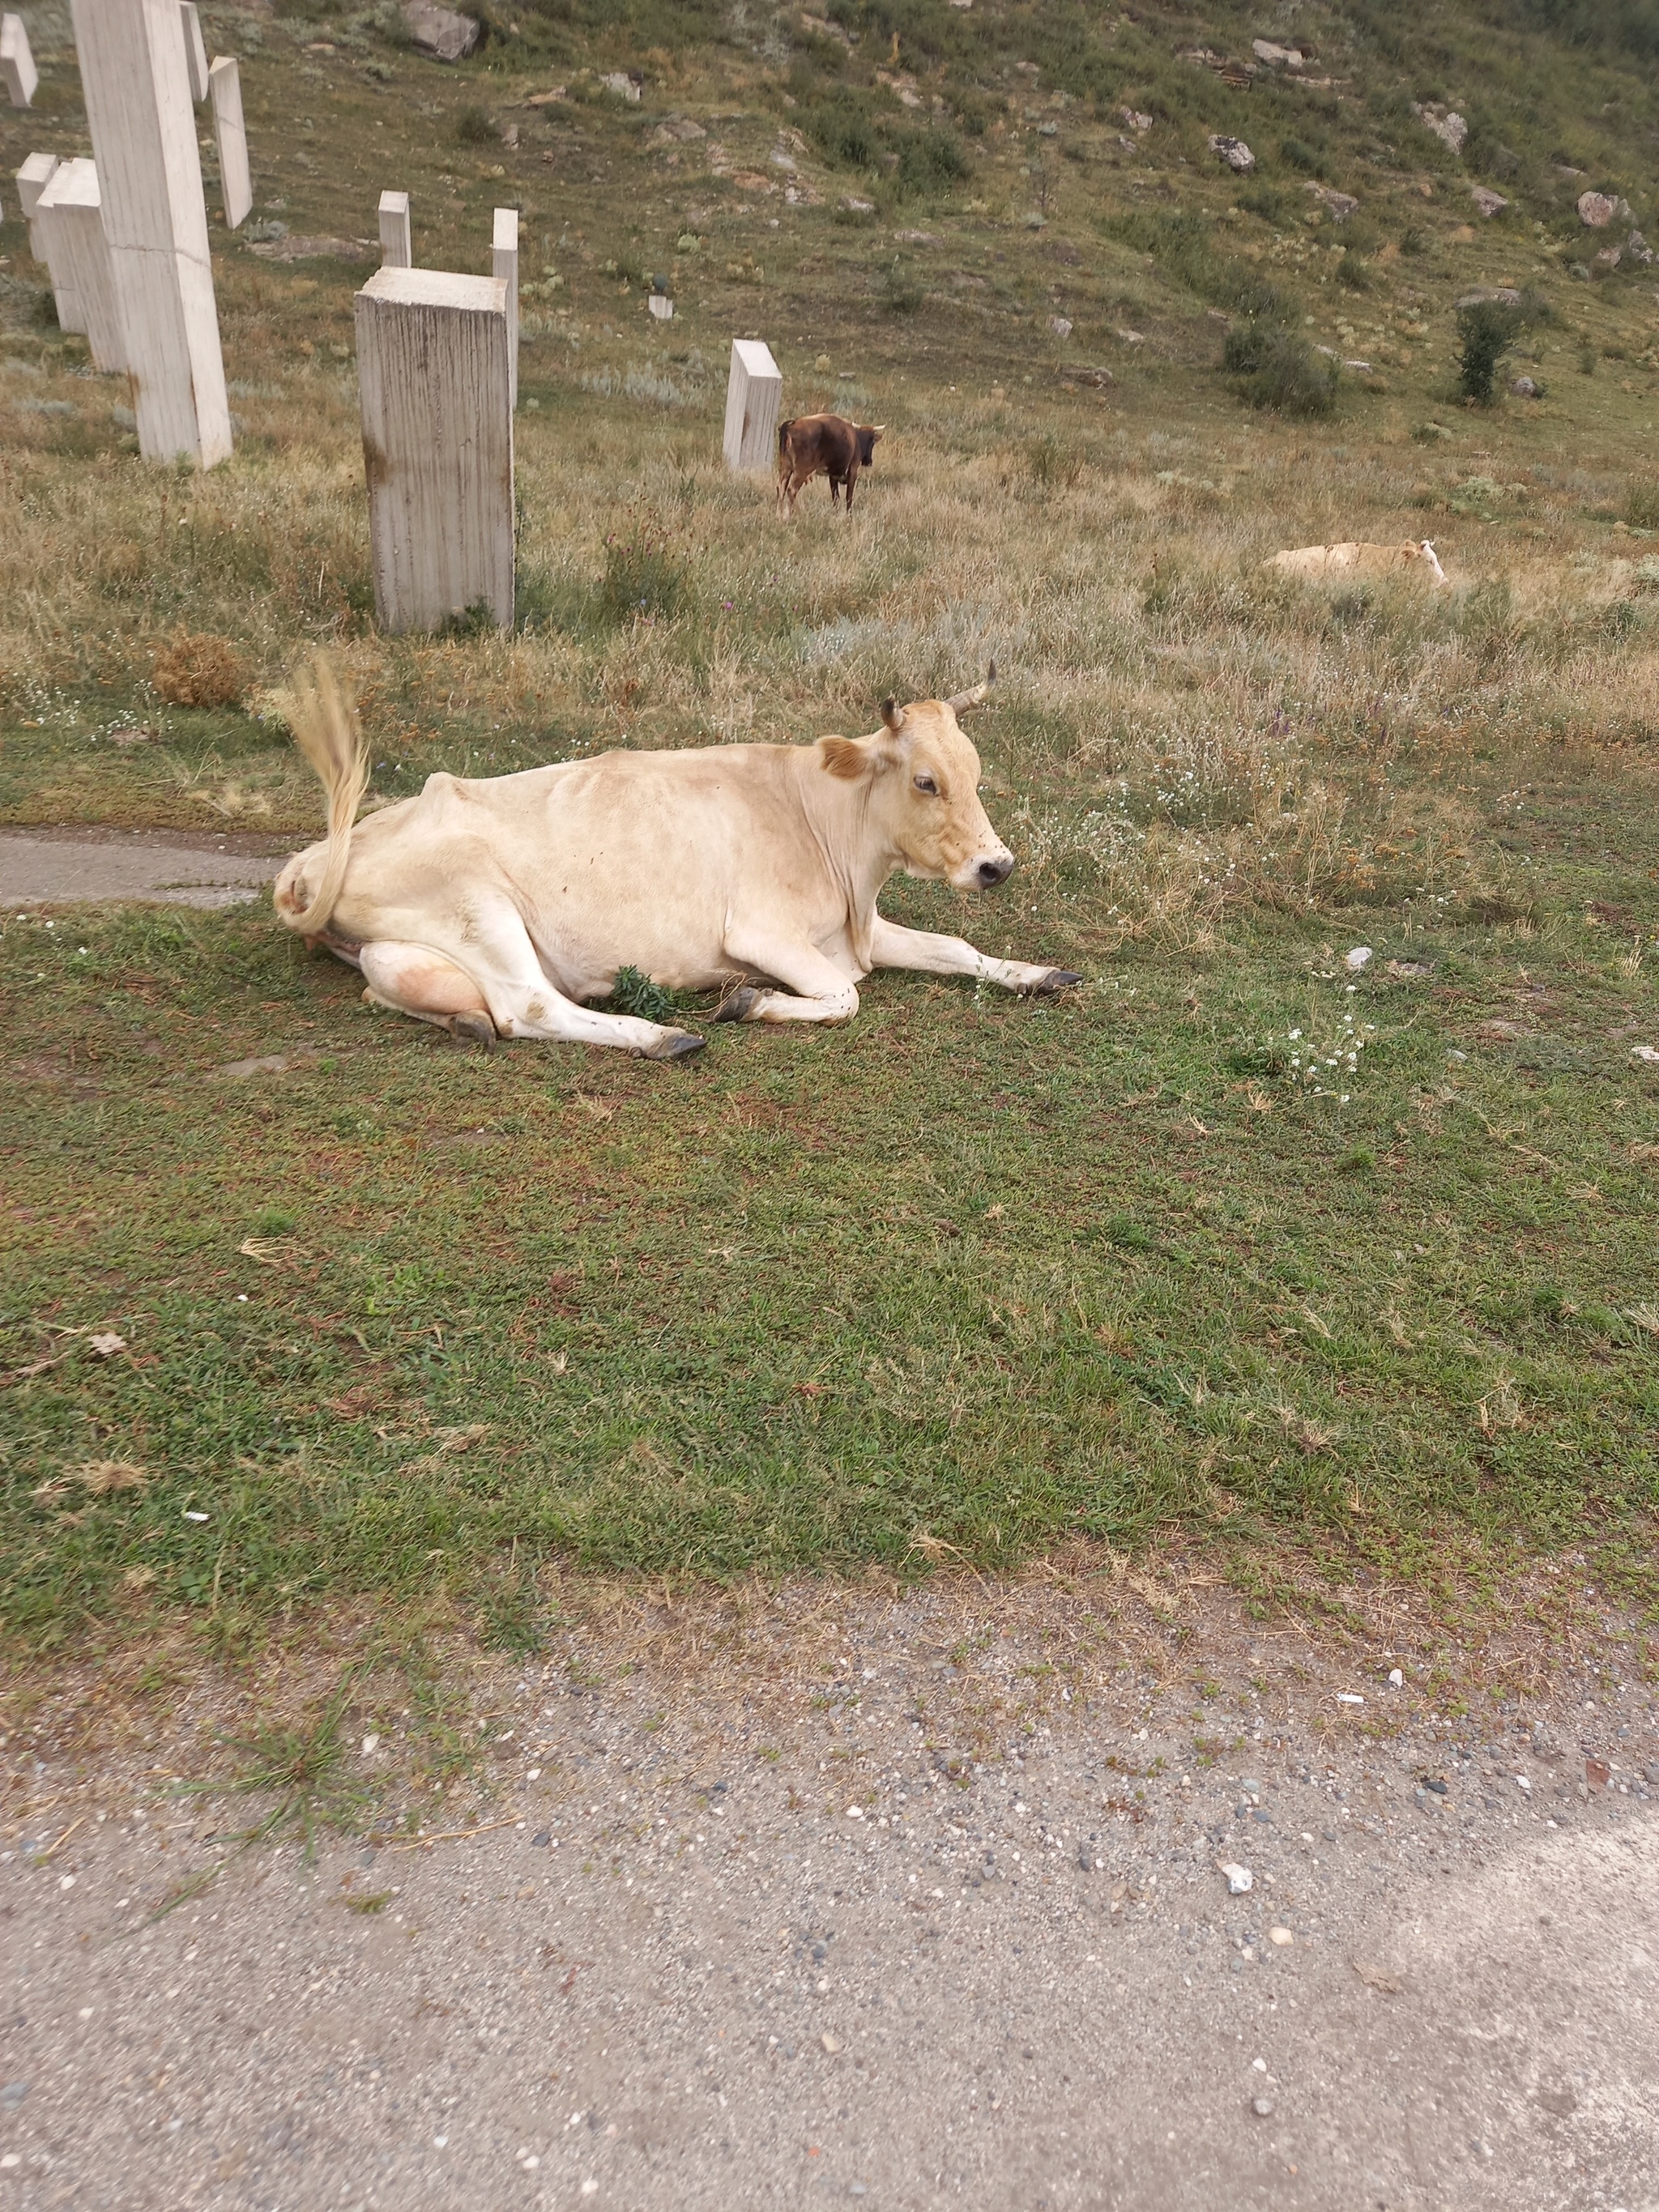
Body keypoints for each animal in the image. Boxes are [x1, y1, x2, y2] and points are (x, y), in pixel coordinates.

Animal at [274, 654, 1084, 1061]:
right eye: (925, 780)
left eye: (976, 770)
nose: (998, 865)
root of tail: (318, 859)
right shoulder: (762, 933)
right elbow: (845, 999)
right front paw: (749, 1001)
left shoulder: (859, 928)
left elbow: (956, 946)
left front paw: (1038, 973)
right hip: (481, 908)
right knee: (530, 1003)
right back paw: (663, 1035)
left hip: (408, 951)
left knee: (416, 994)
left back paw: (462, 1021)